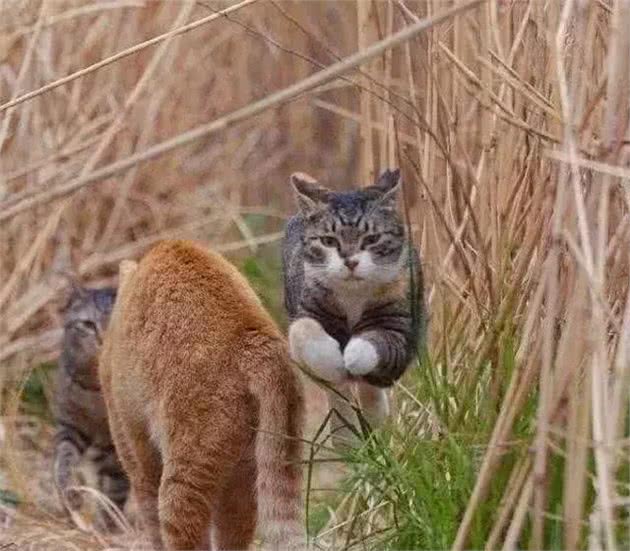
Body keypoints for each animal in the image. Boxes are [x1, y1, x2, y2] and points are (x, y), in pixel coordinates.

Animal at [53, 284, 130, 532]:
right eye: (88, 324)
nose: (103, 340)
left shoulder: (117, 445)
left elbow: (117, 487)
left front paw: (110, 525)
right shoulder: (70, 425)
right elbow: (63, 461)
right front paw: (71, 495)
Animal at [282, 168, 428, 444]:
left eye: (372, 239)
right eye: (328, 241)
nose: (350, 262)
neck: (353, 294)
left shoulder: (399, 327)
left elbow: (377, 343)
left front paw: (351, 354)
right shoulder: (308, 306)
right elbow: (302, 330)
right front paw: (333, 360)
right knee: (339, 397)